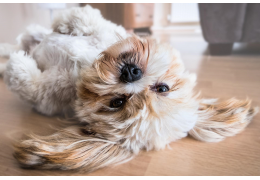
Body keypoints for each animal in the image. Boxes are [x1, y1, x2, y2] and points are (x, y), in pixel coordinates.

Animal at [0, 5, 258, 172]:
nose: (131, 73)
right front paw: (68, 22)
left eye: (117, 102)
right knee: (24, 38)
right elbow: (89, 20)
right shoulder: (105, 32)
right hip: (32, 34)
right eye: (162, 88)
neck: (84, 67)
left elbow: (30, 85)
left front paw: (17, 65)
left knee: (19, 48)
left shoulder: (48, 97)